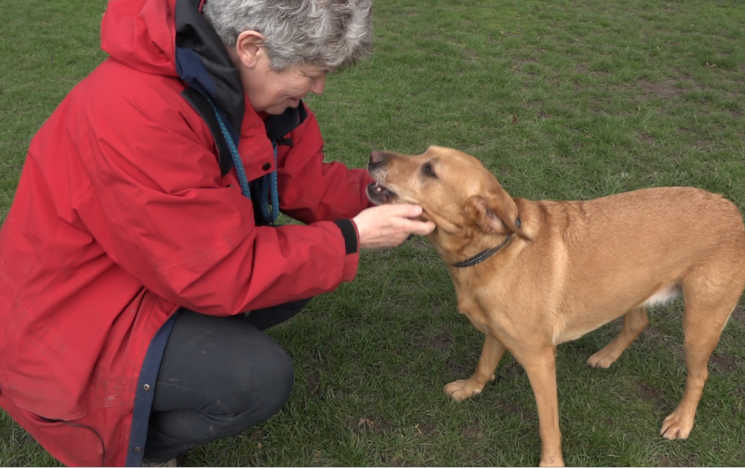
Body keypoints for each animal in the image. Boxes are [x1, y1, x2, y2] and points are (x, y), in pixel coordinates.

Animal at [364, 146, 744, 464]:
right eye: (423, 152)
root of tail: (731, 207)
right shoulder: (497, 333)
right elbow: (484, 365)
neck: (493, 250)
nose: (373, 156)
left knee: (699, 374)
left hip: (700, 324)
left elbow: (549, 425)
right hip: (631, 288)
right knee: (638, 323)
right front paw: (469, 389)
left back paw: (681, 421)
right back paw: (607, 356)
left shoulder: (540, 360)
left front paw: (551, 462)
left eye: (429, 169)